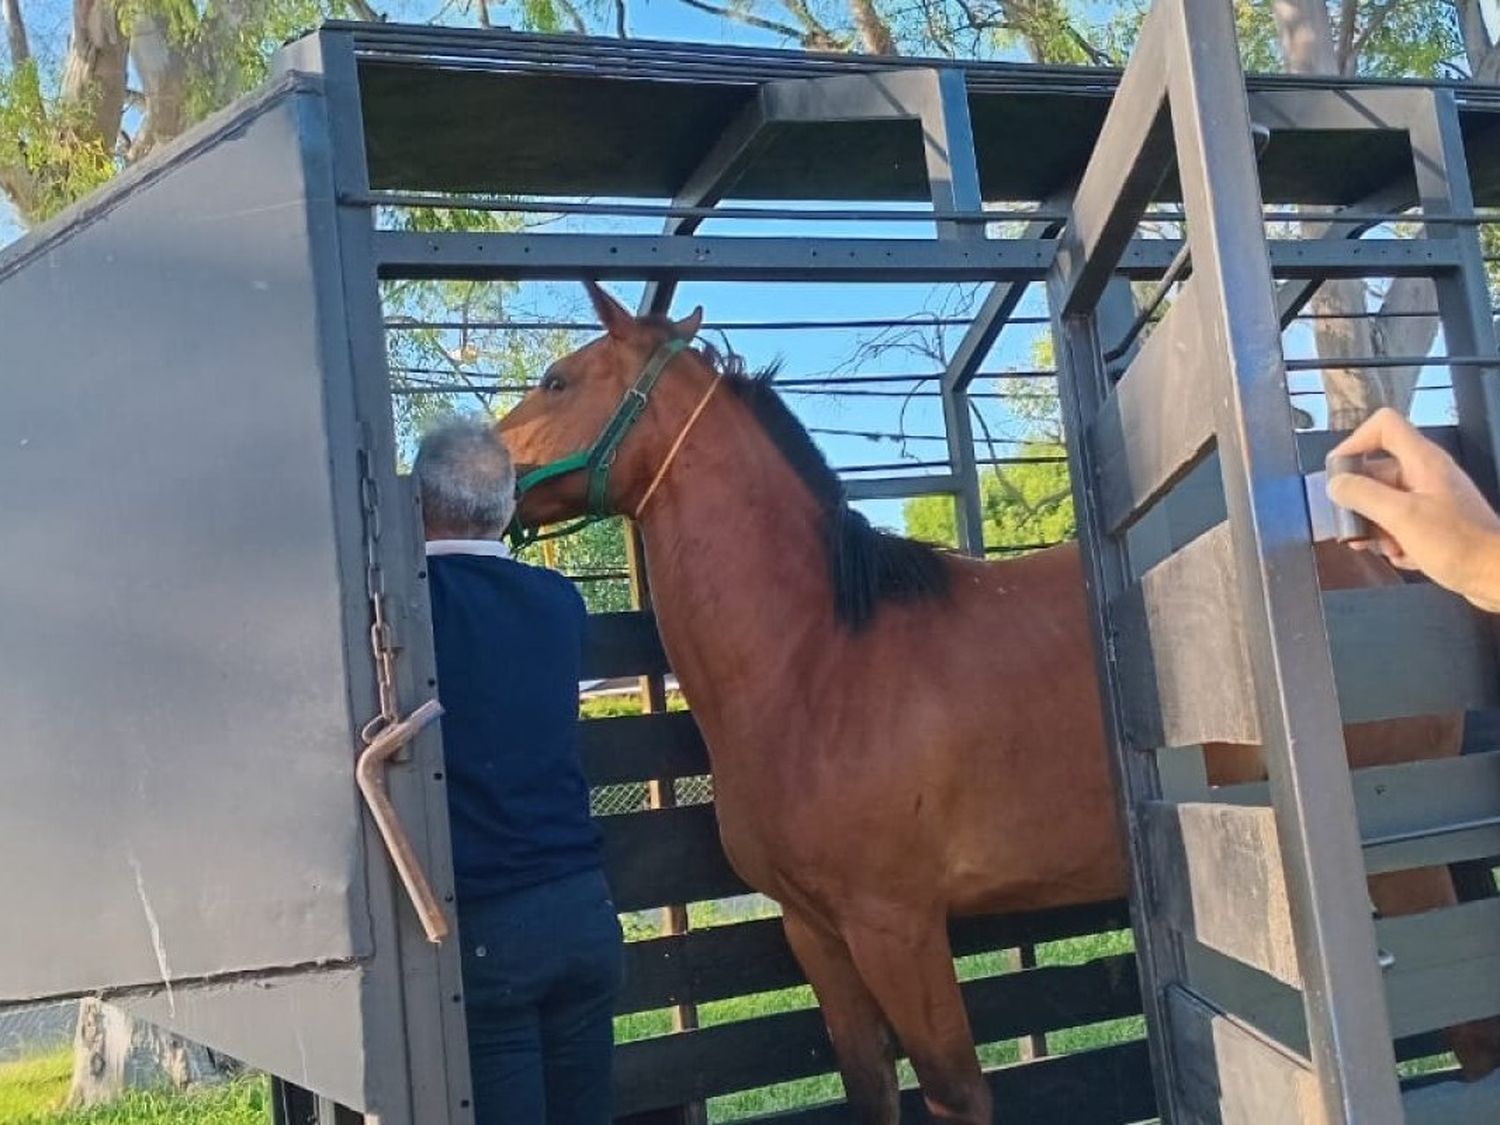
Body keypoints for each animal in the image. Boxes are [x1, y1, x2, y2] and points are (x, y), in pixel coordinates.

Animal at [495, 280, 1500, 1122]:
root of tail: (1379, 560)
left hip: (1398, 866)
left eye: (556, 380)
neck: (817, 661)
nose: (473, 465)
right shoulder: (815, 933)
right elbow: (873, 1088)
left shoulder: (897, 927)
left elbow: (956, 1093)